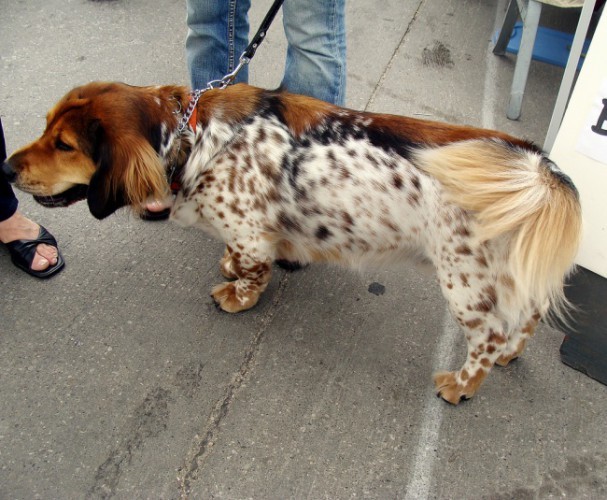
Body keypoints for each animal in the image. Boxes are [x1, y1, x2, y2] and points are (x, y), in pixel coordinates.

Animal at [3, 82, 584, 402]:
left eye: (65, 144)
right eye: (46, 125)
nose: (5, 168)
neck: (195, 138)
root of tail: (537, 166)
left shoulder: (251, 234)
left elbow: (252, 271)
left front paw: (238, 296)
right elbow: (237, 257)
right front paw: (228, 267)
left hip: (464, 283)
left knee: (487, 337)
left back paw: (462, 385)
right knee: (528, 317)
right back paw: (510, 355)